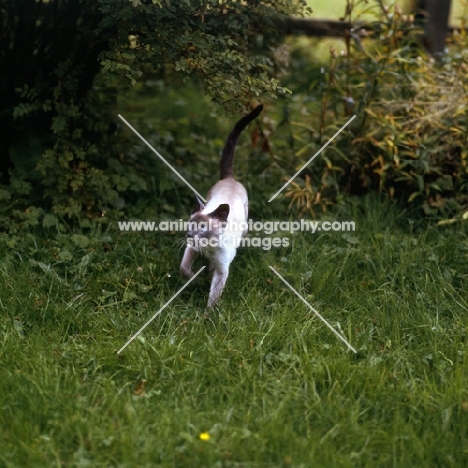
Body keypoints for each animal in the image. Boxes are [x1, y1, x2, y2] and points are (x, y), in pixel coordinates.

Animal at [179, 103, 264, 308]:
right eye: (191, 225)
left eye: (203, 228)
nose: (189, 235)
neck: (209, 248)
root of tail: (229, 179)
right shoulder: (191, 248)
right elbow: (184, 269)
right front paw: (193, 279)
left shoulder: (222, 269)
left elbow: (214, 297)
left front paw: (207, 315)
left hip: (244, 228)